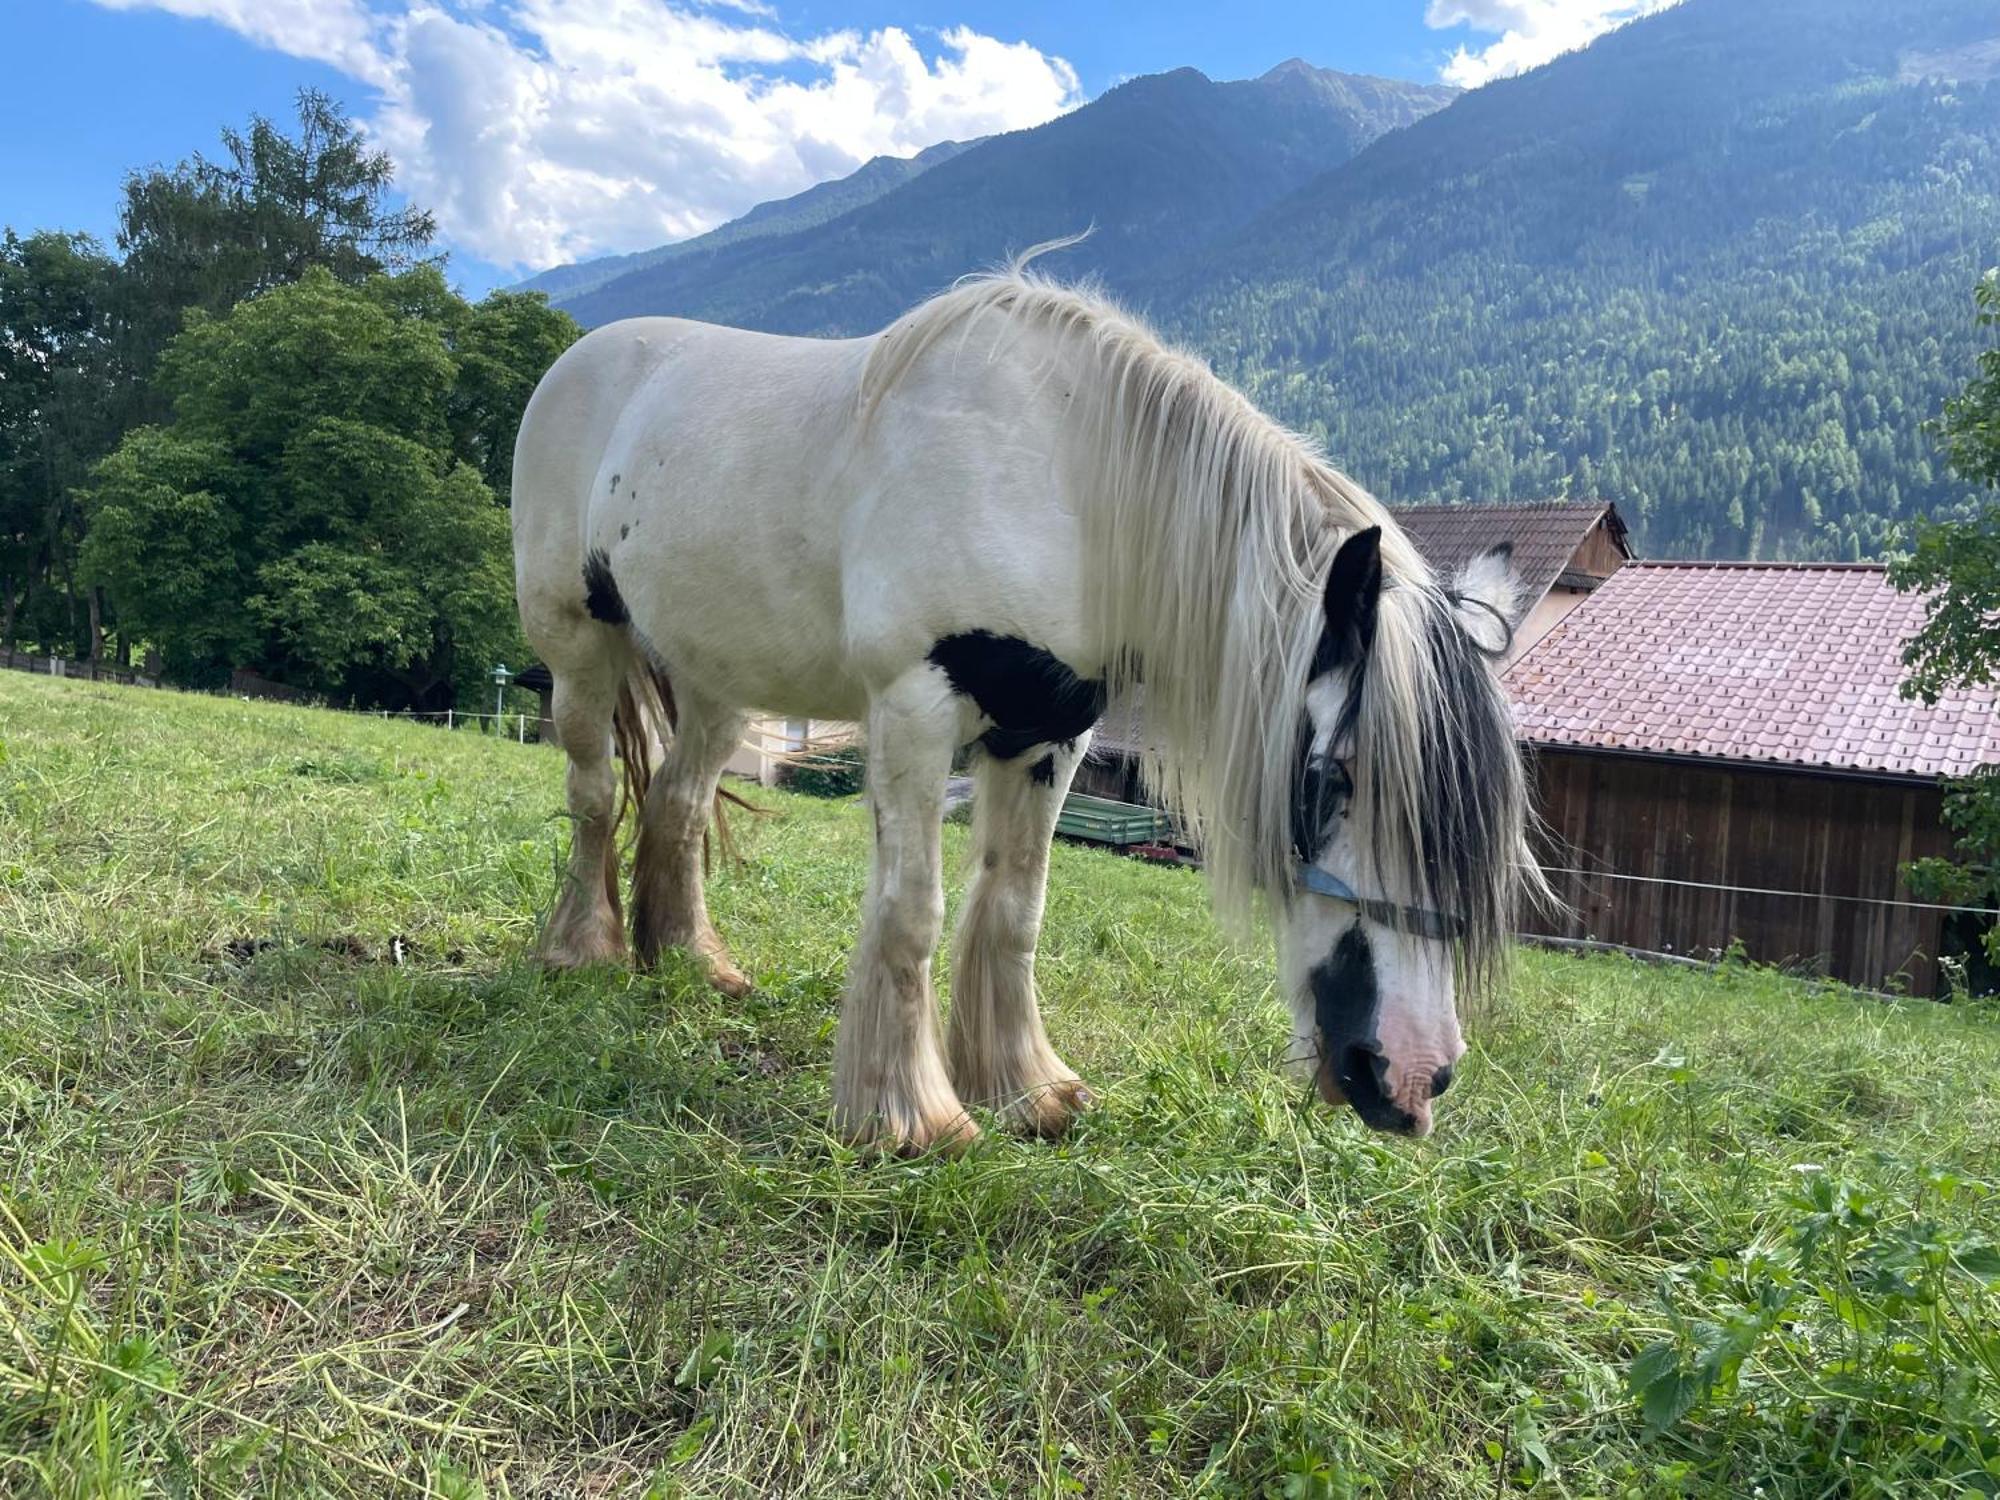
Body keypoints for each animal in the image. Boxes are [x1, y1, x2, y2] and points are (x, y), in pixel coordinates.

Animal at [508, 253, 1536, 1160]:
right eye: (1330, 781)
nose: (1411, 1075)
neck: (1062, 481)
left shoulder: (1050, 734)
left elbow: (1015, 910)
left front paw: (1026, 1091)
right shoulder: (917, 705)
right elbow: (914, 907)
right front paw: (909, 1117)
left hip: (719, 682)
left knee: (678, 804)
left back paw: (691, 961)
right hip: (576, 645)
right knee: (595, 792)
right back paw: (582, 950)